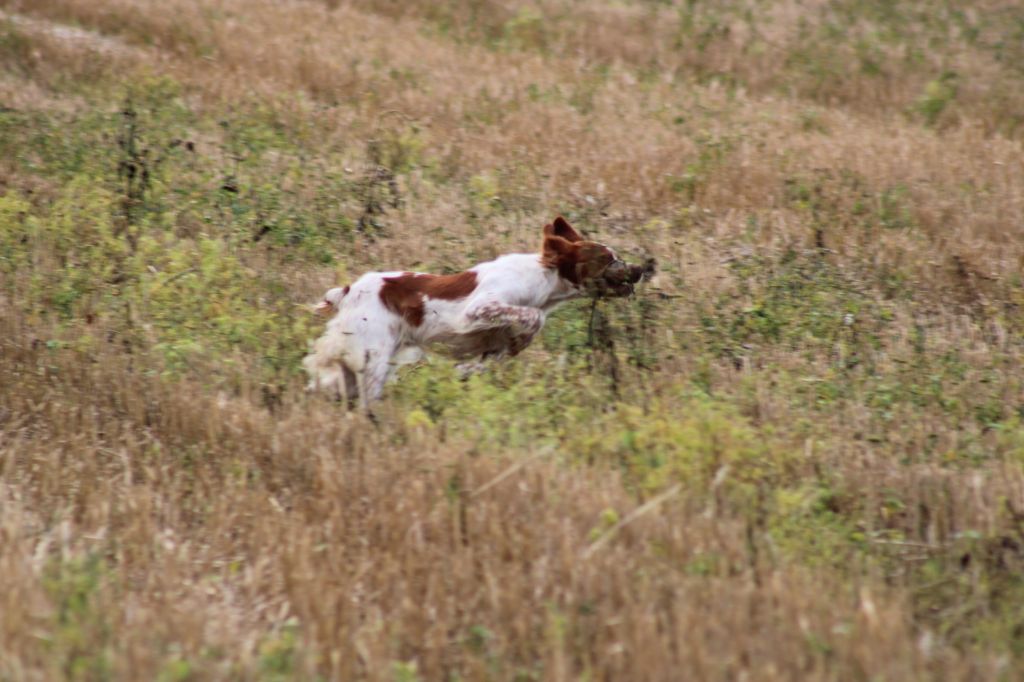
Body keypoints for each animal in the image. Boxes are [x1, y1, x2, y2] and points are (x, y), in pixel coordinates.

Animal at [301, 216, 647, 409]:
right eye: (608, 258)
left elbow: (495, 355)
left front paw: (469, 370)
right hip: (373, 357)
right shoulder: (478, 309)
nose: (641, 270)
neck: (544, 279)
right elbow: (531, 318)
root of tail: (349, 290)